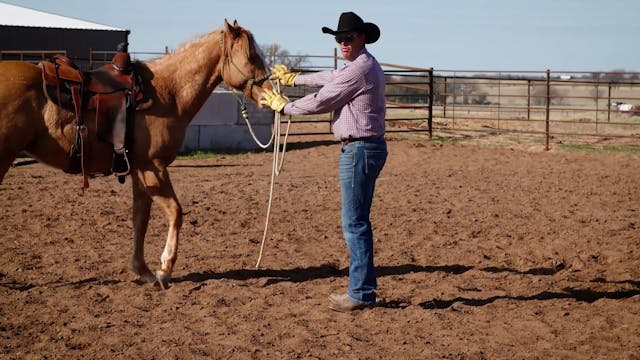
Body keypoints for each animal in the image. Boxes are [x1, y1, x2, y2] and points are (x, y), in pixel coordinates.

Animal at [0, 20, 272, 290]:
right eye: (252, 55)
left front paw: (143, 271)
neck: (168, 92)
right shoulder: (153, 168)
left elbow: (140, 219)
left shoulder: (139, 171)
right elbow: (175, 211)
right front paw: (164, 269)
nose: (269, 95)